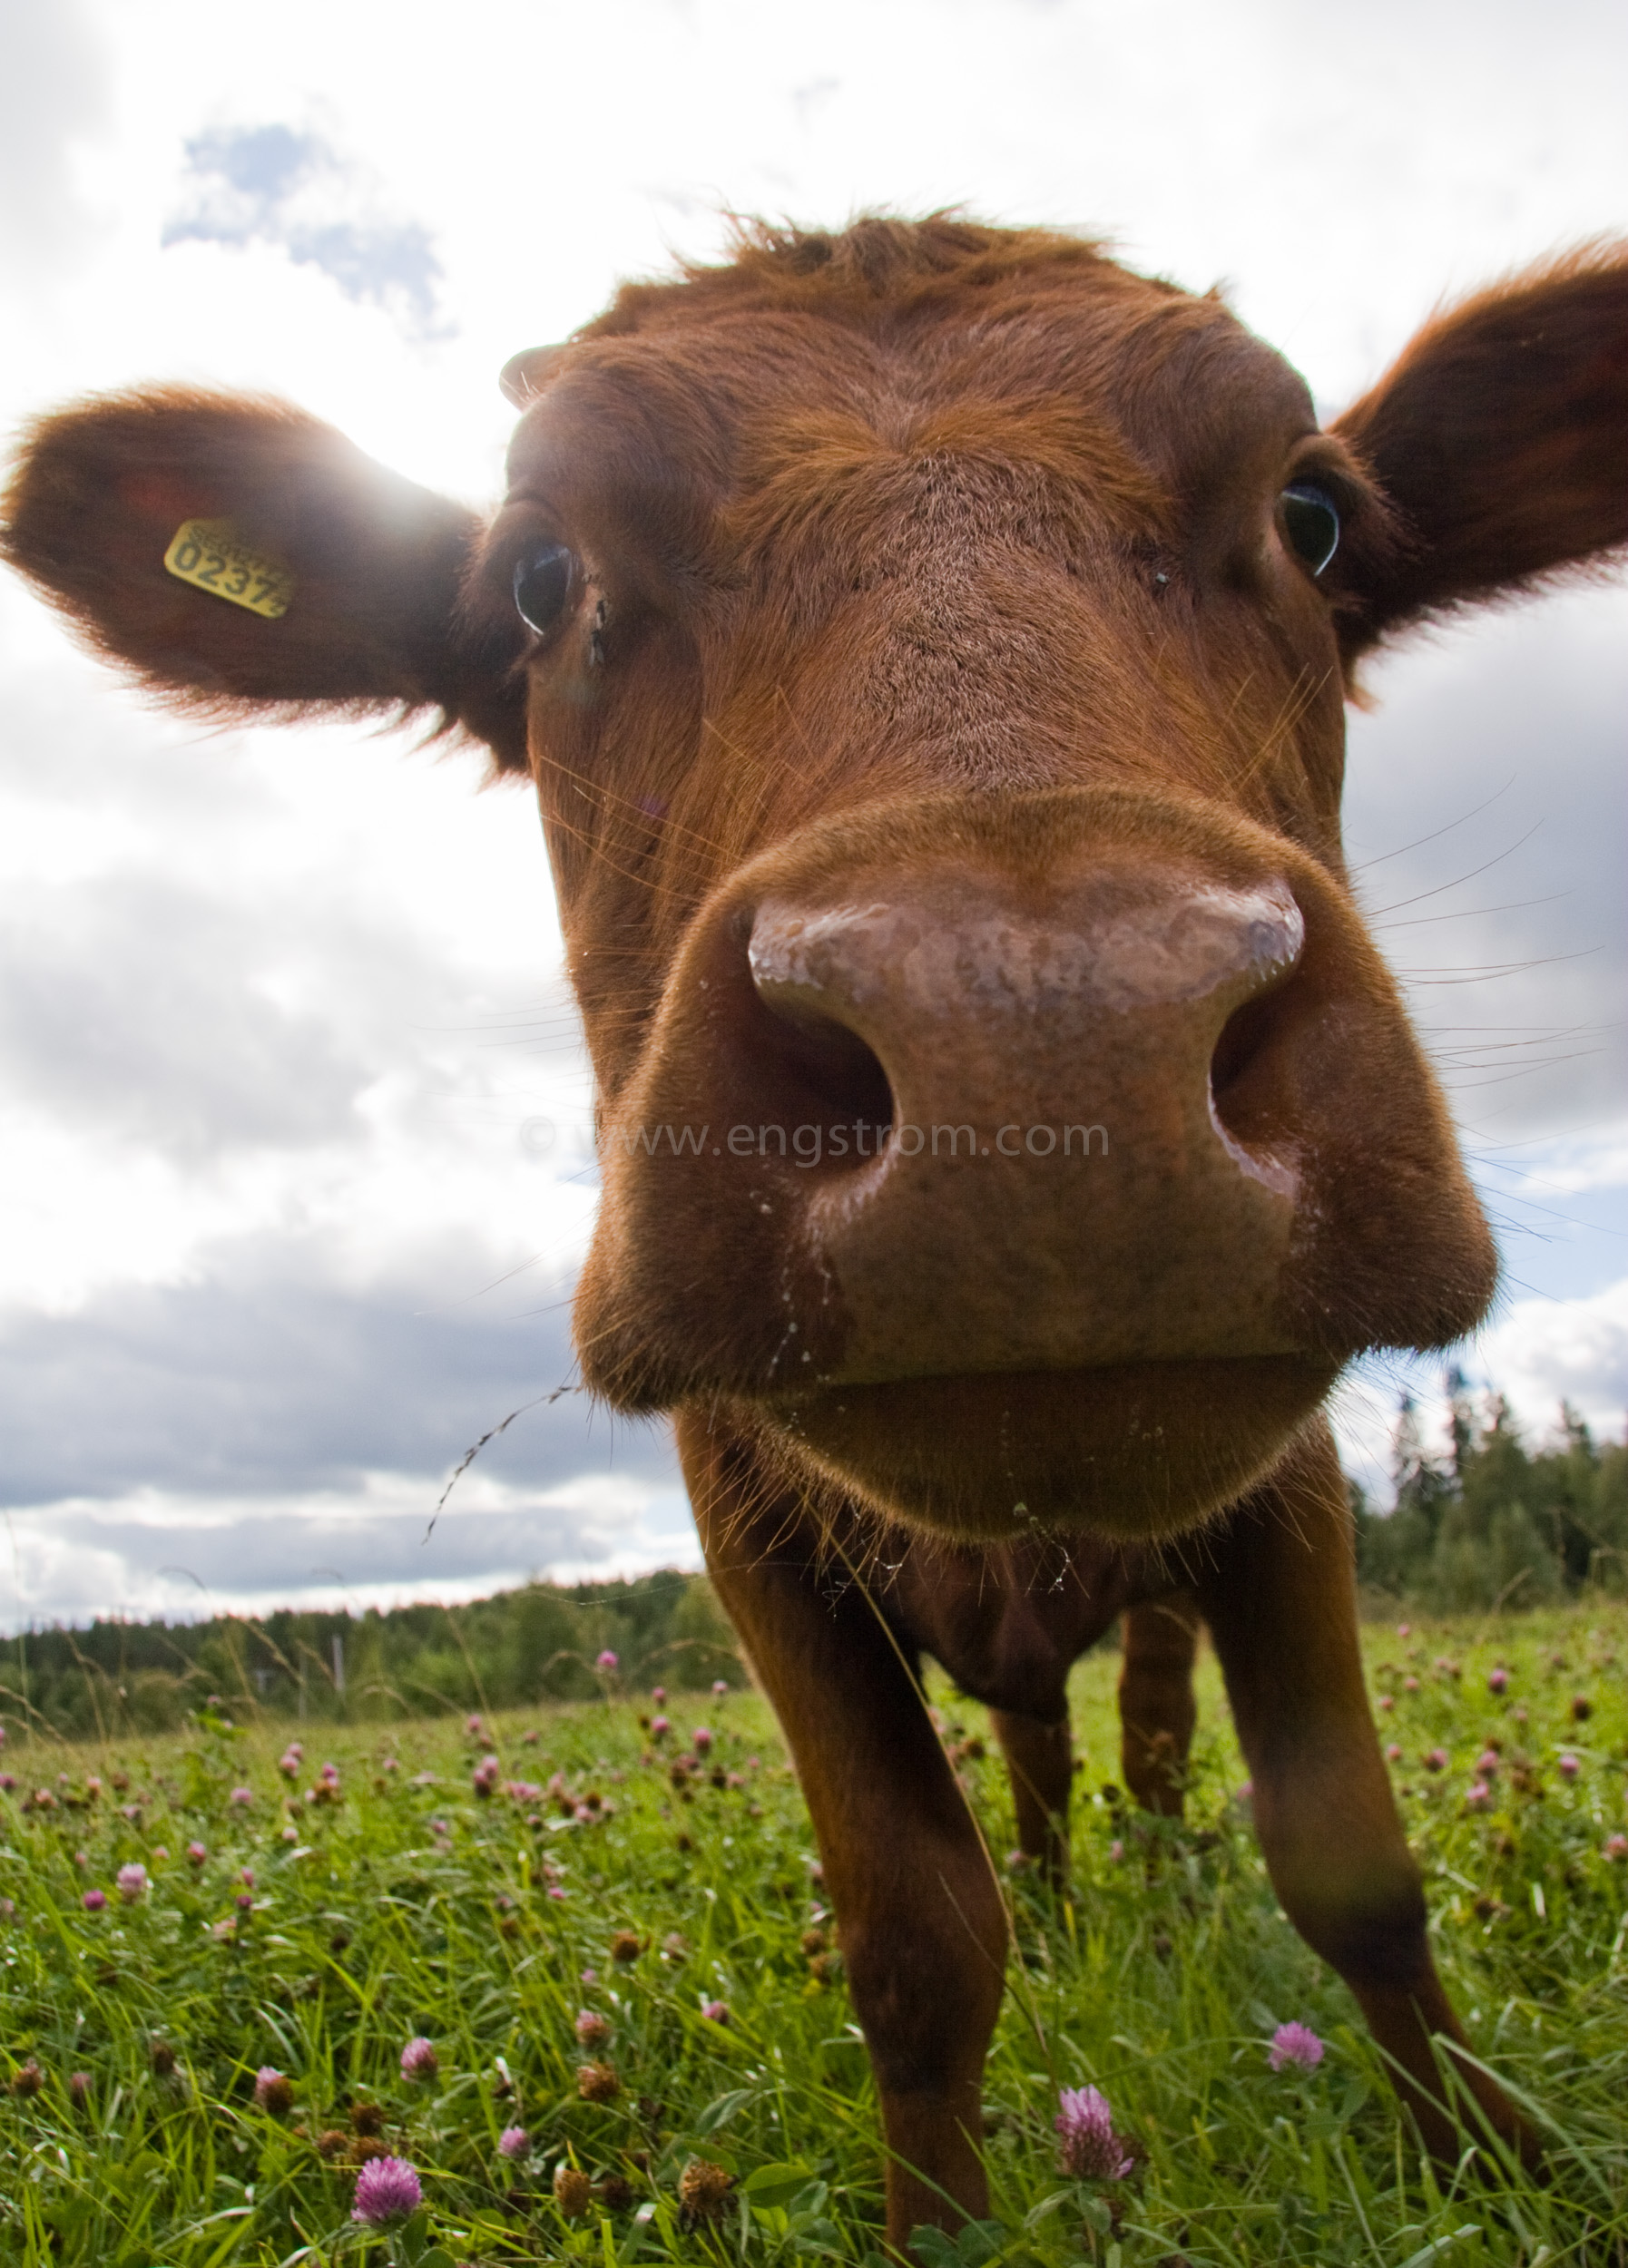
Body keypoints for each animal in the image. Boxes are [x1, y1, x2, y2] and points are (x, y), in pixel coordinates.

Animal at [3, 220, 1628, 2241]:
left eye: (1313, 514)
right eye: (539, 579)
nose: (1042, 1034)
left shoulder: (1294, 1480)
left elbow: (1350, 1857)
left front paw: (1495, 2162)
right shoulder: (748, 1522)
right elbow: (916, 1935)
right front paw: (943, 2224)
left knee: (1141, 1747)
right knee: (1039, 1770)